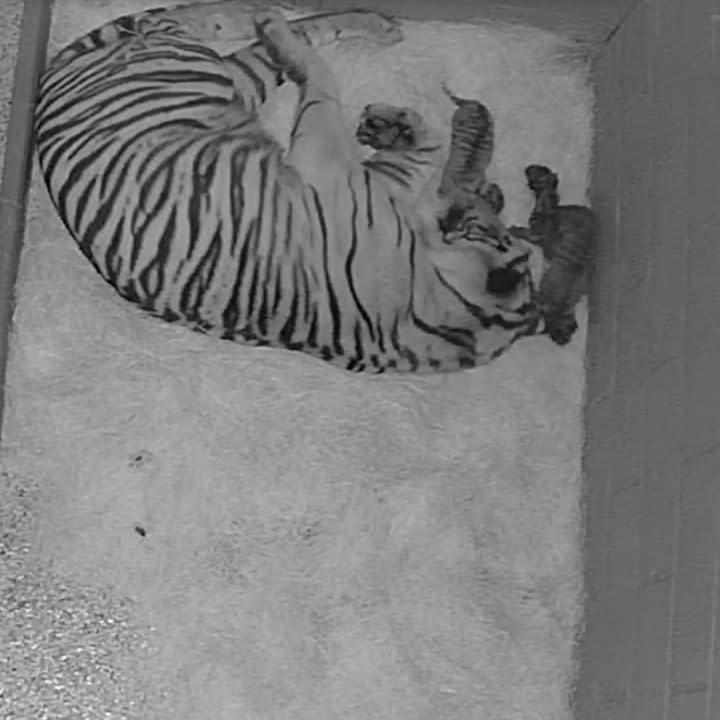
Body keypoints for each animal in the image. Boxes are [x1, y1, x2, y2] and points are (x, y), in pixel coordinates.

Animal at [32, 5, 540, 374]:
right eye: (488, 223)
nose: (455, 214)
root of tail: (53, 74)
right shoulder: (371, 178)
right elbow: (426, 145)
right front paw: (396, 125)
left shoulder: (328, 158)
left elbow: (325, 83)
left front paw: (394, 124)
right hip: (226, 83)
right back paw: (362, 22)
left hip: (209, 76)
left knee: (177, 24)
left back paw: (269, 19)